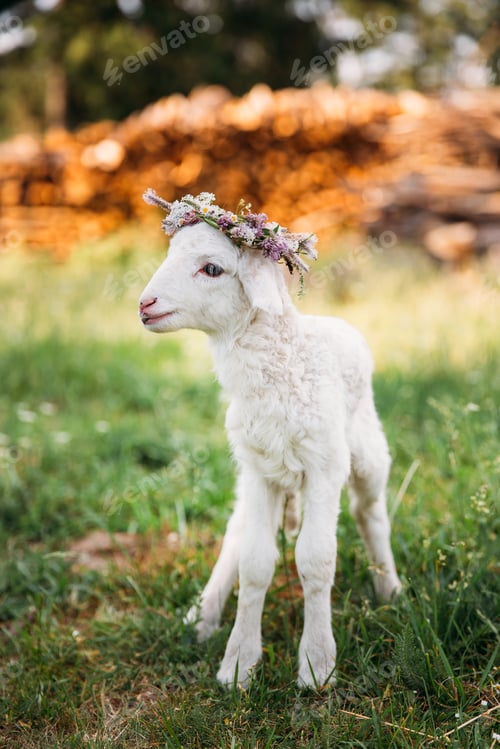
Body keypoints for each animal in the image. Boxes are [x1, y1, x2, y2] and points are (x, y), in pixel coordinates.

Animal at [139, 190, 401, 689]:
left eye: (212, 269)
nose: (146, 304)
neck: (284, 362)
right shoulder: (259, 469)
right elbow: (255, 563)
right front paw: (238, 664)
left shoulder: (323, 464)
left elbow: (316, 560)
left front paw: (317, 665)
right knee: (236, 533)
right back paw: (202, 616)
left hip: (367, 450)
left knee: (370, 512)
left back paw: (390, 590)